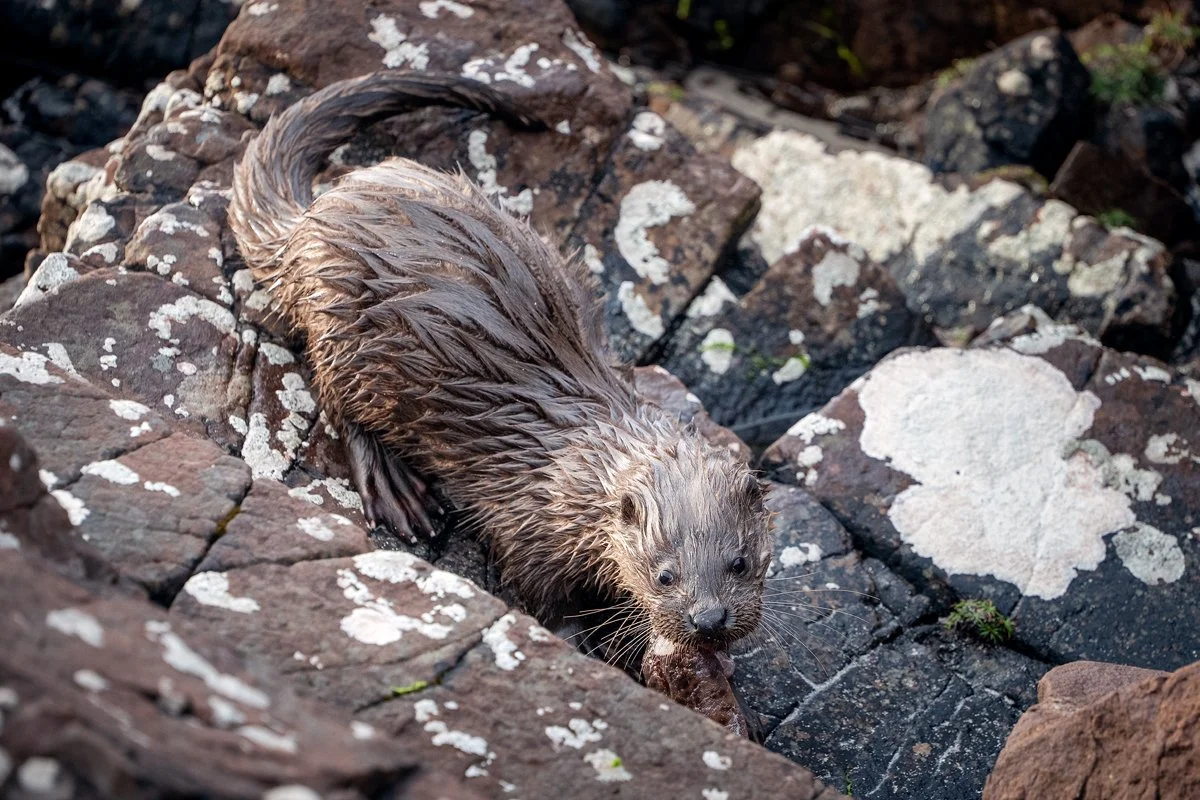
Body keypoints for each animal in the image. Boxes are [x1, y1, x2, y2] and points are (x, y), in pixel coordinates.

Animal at [228, 71, 773, 661]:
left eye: (740, 562)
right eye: (664, 574)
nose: (709, 618)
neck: (574, 474)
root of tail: (309, 221)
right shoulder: (524, 523)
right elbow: (540, 593)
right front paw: (578, 643)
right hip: (339, 324)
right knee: (337, 402)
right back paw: (398, 493)